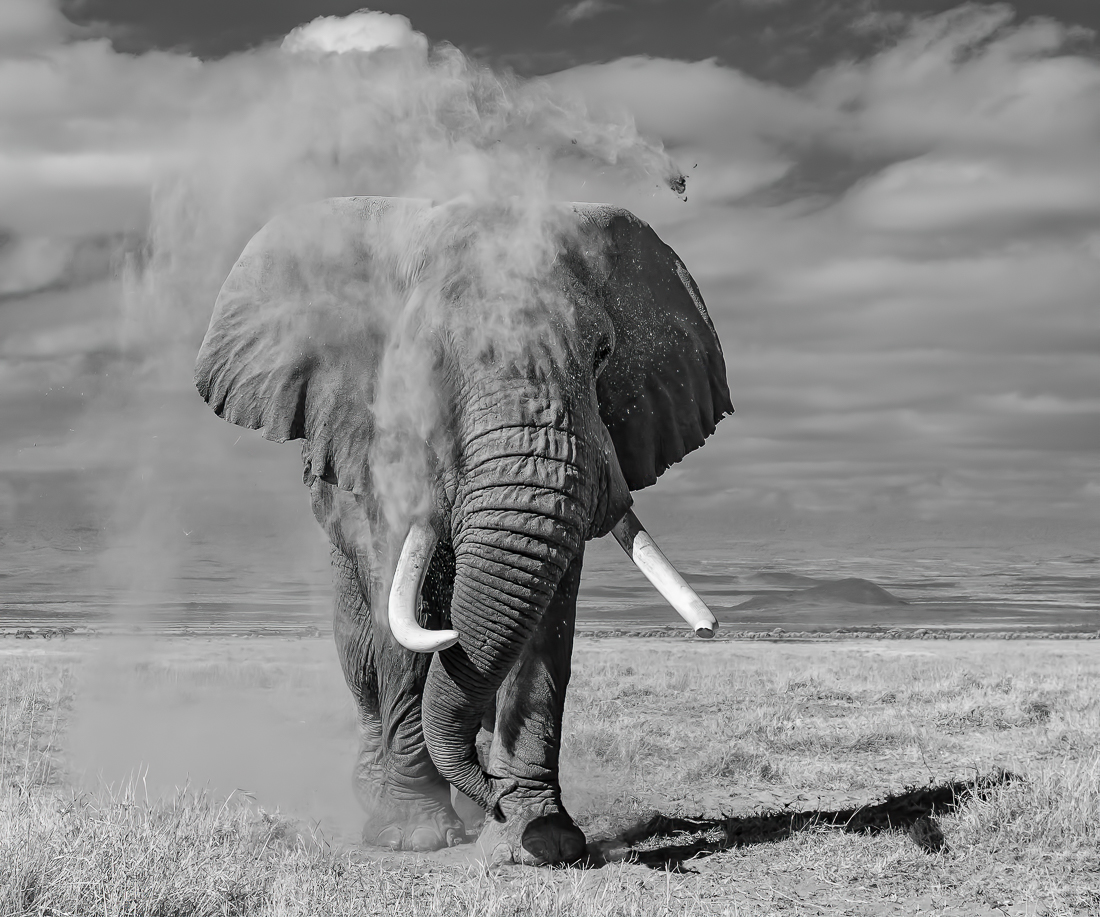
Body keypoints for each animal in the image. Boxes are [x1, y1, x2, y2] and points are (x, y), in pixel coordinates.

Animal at [194, 195, 733, 865]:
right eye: (421, 365)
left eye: (604, 354)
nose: (494, 797)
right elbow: (403, 610)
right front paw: (415, 837)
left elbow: (548, 615)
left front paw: (542, 842)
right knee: (360, 648)